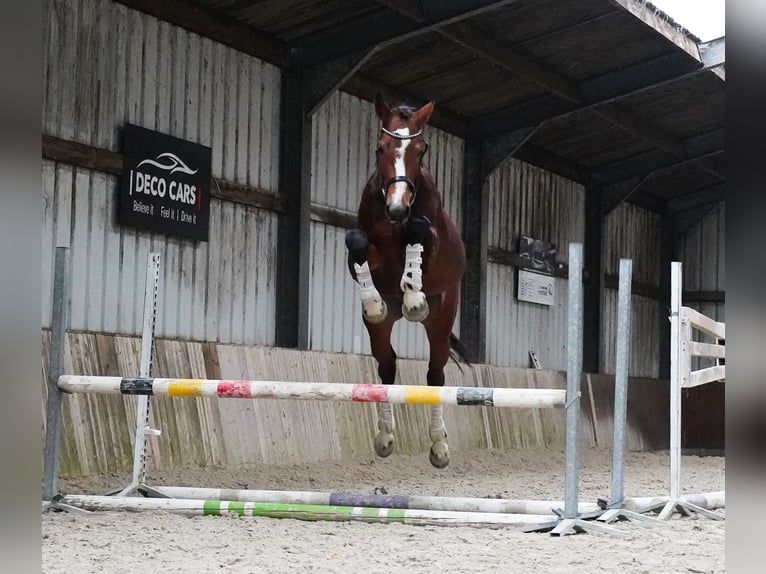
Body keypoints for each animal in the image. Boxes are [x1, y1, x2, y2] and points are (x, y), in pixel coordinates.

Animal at [346, 94, 468, 470]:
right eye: (380, 148)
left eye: (421, 149)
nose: (397, 208)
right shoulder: (366, 250)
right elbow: (356, 242)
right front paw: (373, 302)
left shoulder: (432, 242)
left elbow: (419, 229)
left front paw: (414, 295)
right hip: (382, 331)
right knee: (387, 366)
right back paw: (385, 436)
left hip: (442, 320)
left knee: (435, 375)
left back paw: (439, 446)